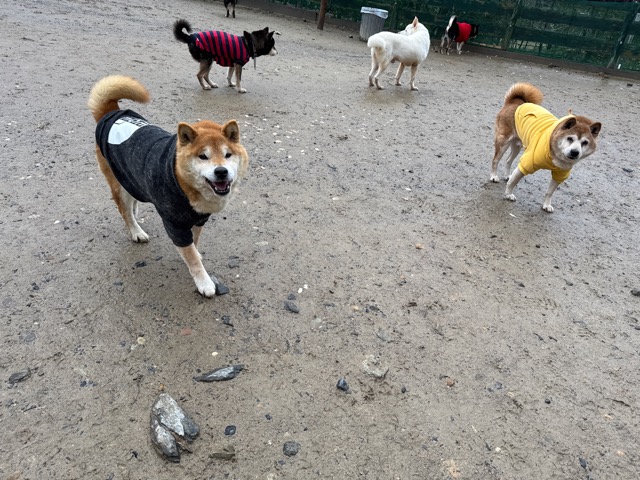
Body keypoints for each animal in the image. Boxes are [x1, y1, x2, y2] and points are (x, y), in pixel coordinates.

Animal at [88, 75, 249, 297]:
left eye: (228, 155)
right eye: (203, 156)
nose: (221, 171)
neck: (185, 185)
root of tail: (112, 113)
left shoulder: (199, 220)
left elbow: (194, 243)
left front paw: (195, 255)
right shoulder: (175, 224)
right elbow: (191, 257)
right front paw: (204, 282)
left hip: (132, 178)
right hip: (118, 182)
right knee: (124, 211)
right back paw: (136, 231)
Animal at [491, 82, 601, 212]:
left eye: (585, 142)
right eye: (570, 138)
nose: (575, 152)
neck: (555, 155)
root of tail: (515, 102)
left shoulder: (560, 175)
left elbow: (549, 192)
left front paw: (546, 204)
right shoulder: (525, 164)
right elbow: (514, 181)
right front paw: (508, 194)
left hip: (517, 145)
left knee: (508, 160)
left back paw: (507, 175)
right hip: (503, 142)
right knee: (495, 160)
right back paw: (493, 176)